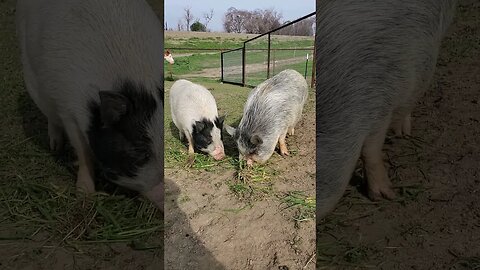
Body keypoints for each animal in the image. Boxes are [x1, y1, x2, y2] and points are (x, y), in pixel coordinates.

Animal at [15, 0, 165, 209]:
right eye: (140, 153)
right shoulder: (68, 110)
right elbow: (83, 152)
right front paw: (84, 195)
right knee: (51, 118)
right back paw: (55, 146)